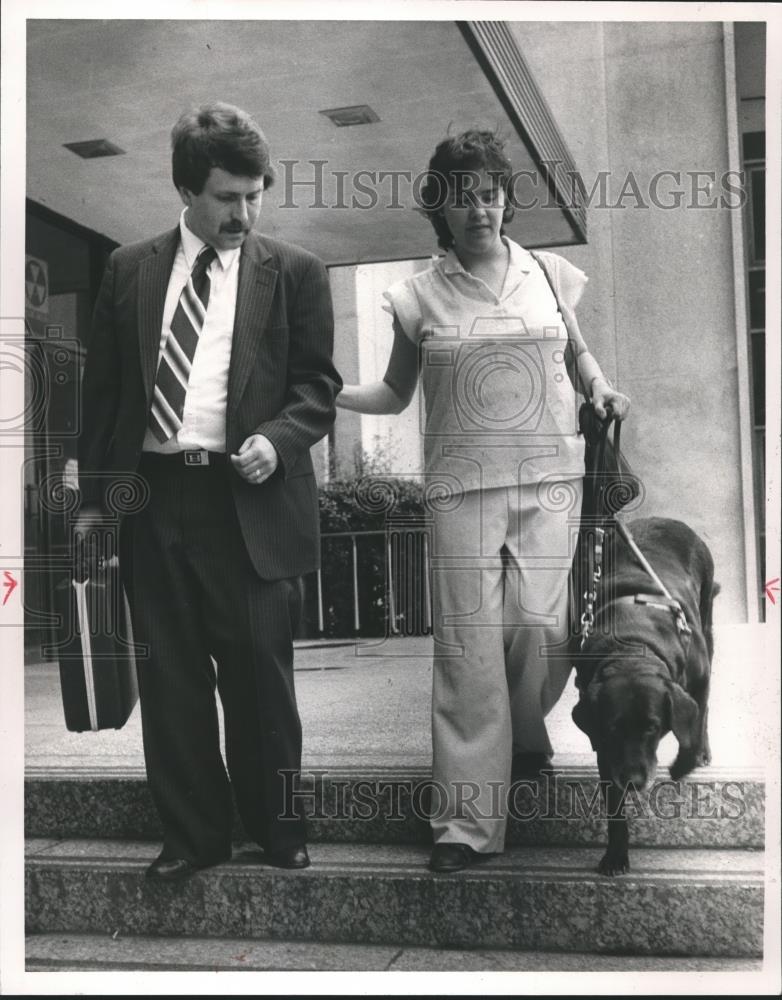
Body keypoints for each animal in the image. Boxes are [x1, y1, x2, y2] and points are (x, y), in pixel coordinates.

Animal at [572, 516, 720, 876]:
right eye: (613, 728)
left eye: (652, 727)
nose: (634, 781)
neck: (632, 646)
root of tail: (664, 519)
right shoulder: (604, 744)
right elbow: (613, 802)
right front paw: (615, 855)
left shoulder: (699, 678)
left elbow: (695, 721)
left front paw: (684, 764)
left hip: (707, 621)